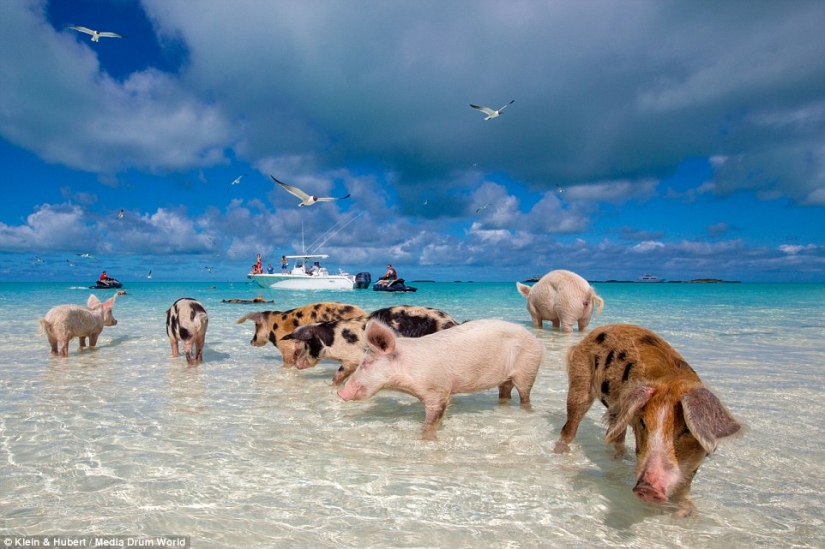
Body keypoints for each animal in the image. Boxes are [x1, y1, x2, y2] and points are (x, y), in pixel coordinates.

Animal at [284, 305, 458, 384]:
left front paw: (332, 385)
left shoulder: (352, 358)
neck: (333, 339)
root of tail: (452, 321)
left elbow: (339, 374)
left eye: (307, 344)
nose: (297, 364)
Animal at [338, 318, 544, 440]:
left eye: (367, 362)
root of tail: (533, 337)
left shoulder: (438, 391)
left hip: (528, 368)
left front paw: (426, 440)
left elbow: (431, 421)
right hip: (506, 378)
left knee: (525, 396)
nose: (340, 393)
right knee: (505, 392)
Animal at [554, 324, 743, 517]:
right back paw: (561, 453)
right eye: (643, 423)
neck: (672, 380)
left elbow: (686, 485)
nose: (647, 489)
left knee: (616, 434)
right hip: (580, 382)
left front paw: (685, 513)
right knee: (570, 426)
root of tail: (586, 338)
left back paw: (623, 458)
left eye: (686, 430)